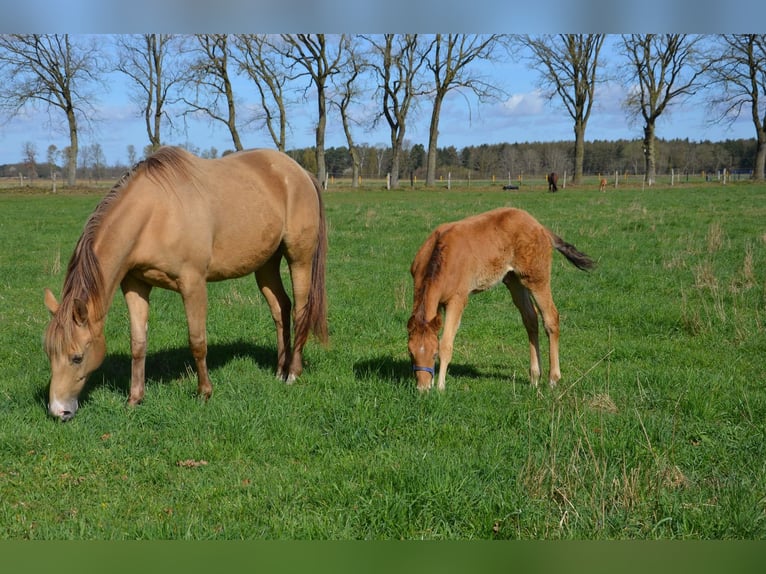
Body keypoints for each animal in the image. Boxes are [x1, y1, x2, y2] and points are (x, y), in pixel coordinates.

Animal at [43, 146, 328, 421]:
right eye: (49, 352)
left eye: (77, 357)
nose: (59, 411)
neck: (155, 214)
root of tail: (301, 173)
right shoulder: (135, 285)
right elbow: (138, 343)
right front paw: (134, 399)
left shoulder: (193, 284)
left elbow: (197, 341)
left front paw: (204, 392)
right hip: (266, 264)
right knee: (280, 309)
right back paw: (279, 370)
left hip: (299, 258)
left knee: (300, 310)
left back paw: (293, 373)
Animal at [407, 207, 594, 392]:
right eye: (411, 353)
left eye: (434, 354)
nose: (422, 388)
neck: (442, 255)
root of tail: (540, 226)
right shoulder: (437, 303)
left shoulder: (457, 299)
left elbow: (446, 343)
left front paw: (440, 387)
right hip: (514, 280)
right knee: (530, 319)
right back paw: (534, 377)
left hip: (536, 278)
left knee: (551, 318)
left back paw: (553, 379)